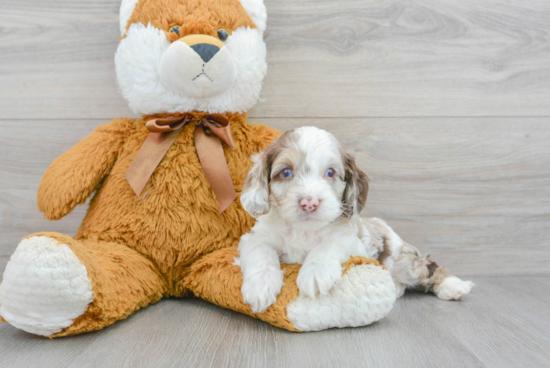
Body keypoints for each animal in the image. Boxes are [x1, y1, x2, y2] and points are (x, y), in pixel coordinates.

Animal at [237, 126, 474, 314]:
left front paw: (315, 273)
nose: (309, 203)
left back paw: (454, 286)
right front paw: (260, 286)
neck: (304, 230)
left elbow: (325, 246)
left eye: (331, 172)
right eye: (285, 172)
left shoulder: (352, 242)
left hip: (403, 261)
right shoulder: (254, 238)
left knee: (429, 268)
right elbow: (261, 251)